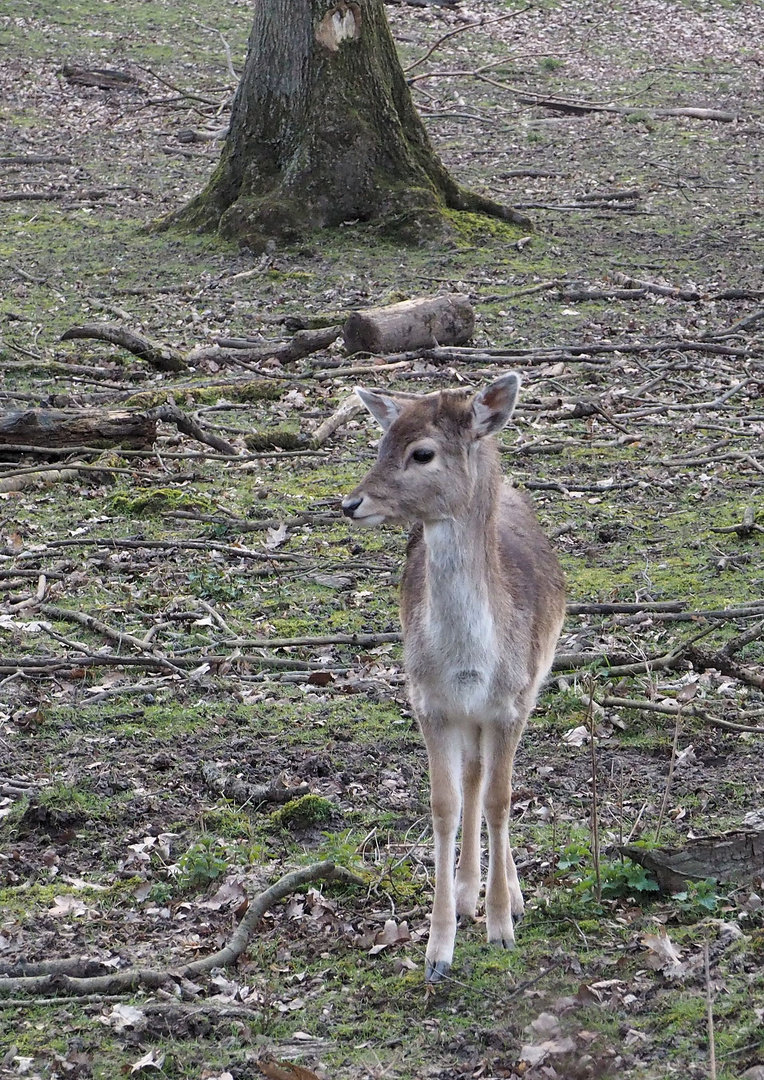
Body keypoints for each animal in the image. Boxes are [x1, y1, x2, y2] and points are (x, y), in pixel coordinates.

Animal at [343, 375, 566, 984]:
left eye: (422, 453)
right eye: (380, 442)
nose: (351, 502)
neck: (470, 664)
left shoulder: (510, 703)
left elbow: (501, 800)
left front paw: (501, 928)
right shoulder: (428, 702)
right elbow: (446, 804)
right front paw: (438, 949)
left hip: (529, 689)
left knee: (490, 784)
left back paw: (508, 895)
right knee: (471, 777)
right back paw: (468, 893)